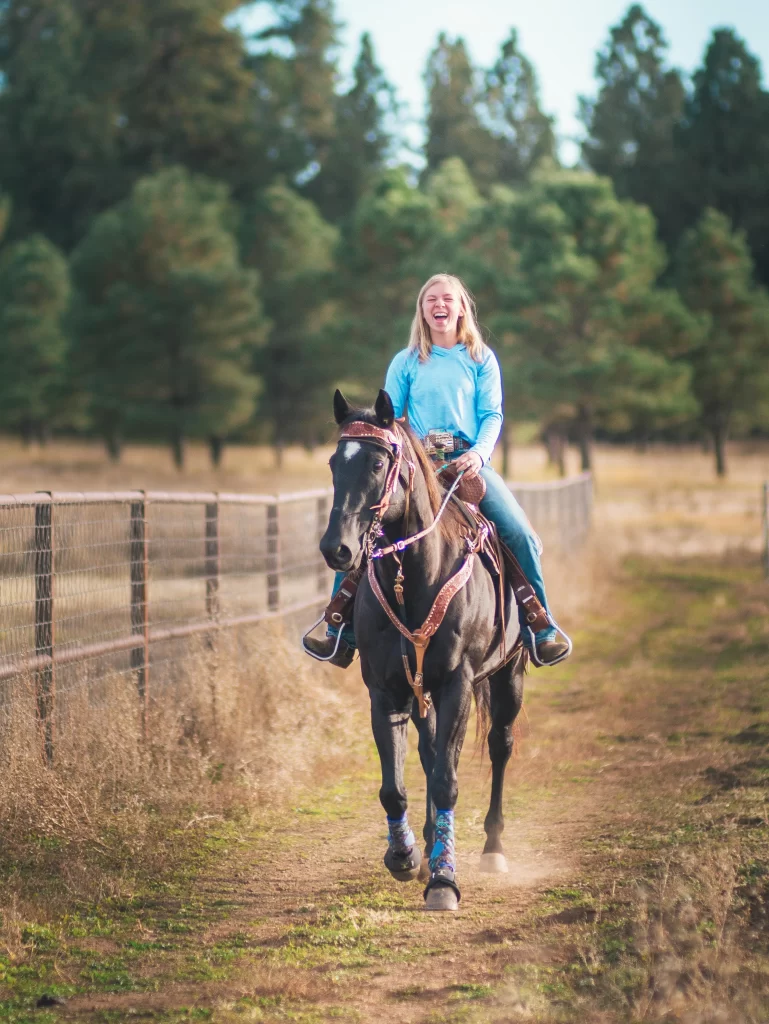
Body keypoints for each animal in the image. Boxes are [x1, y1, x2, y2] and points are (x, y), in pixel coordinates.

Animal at [319, 391, 528, 913]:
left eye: (378, 462)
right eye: (334, 462)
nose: (337, 549)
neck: (415, 575)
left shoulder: (457, 684)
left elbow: (448, 779)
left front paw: (444, 881)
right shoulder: (385, 690)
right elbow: (395, 787)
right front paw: (405, 856)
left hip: (509, 675)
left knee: (499, 746)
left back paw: (493, 849)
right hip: (422, 694)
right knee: (430, 751)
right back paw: (432, 842)